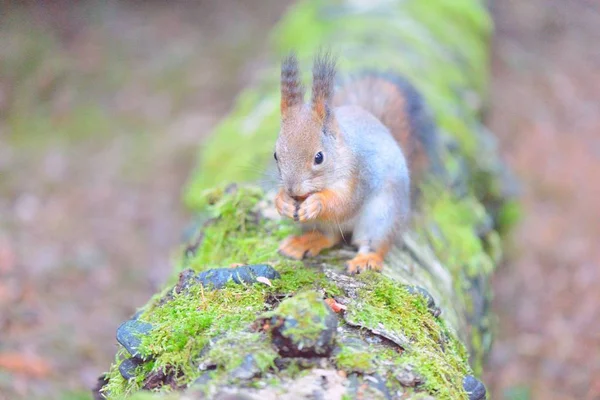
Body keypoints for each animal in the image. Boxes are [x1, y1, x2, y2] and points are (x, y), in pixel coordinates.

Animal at [274, 51, 438, 274]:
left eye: (319, 157)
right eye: (276, 155)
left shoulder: (359, 176)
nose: (292, 190)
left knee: (374, 244)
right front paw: (282, 200)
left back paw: (366, 259)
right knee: (329, 236)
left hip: (383, 217)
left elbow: (345, 203)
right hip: (323, 225)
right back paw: (302, 243)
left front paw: (317, 202)